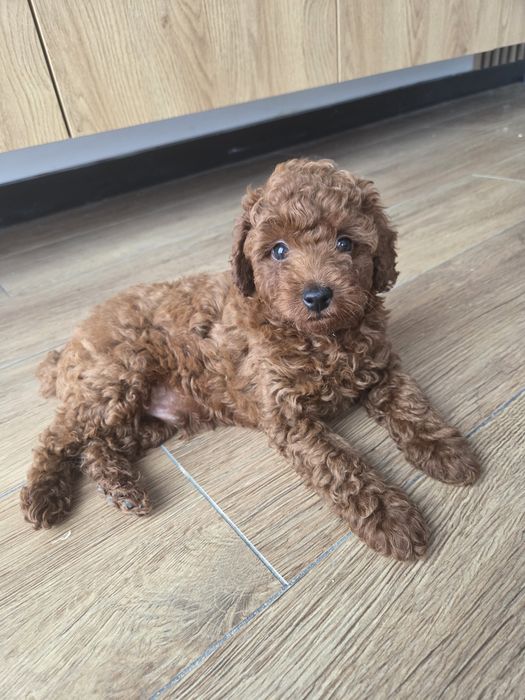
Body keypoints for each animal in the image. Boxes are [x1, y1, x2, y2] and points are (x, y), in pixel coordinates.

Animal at [20, 159, 480, 561]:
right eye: (278, 251)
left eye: (345, 242)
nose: (317, 296)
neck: (320, 339)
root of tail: (68, 346)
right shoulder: (285, 413)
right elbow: (339, 465)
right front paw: (388, 517)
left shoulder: (381, 366)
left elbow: (410, 403)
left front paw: (444, 450)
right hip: (115, 378)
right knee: (57, 437)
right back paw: (44, 496)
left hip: (148, 419)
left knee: (97, 445)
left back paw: (121, 488)